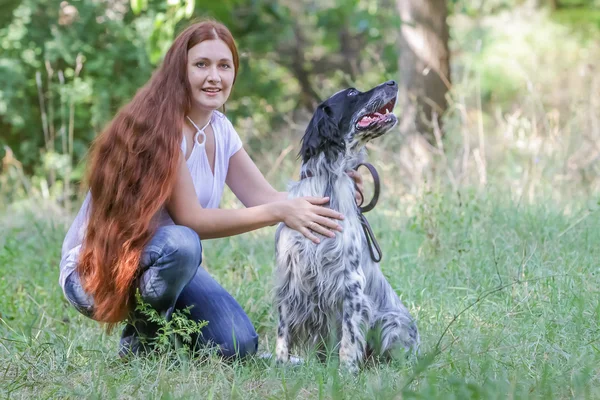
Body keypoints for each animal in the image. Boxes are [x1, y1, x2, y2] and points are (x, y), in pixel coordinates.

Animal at [274, 80, 420, 372]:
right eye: (352, 93)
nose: (393, 82)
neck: (327, 181)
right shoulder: (289, 275)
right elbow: (283, 330)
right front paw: (281, 364)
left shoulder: (350, 281)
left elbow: (350, 335)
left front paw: (346, 370)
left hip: (392, 322)